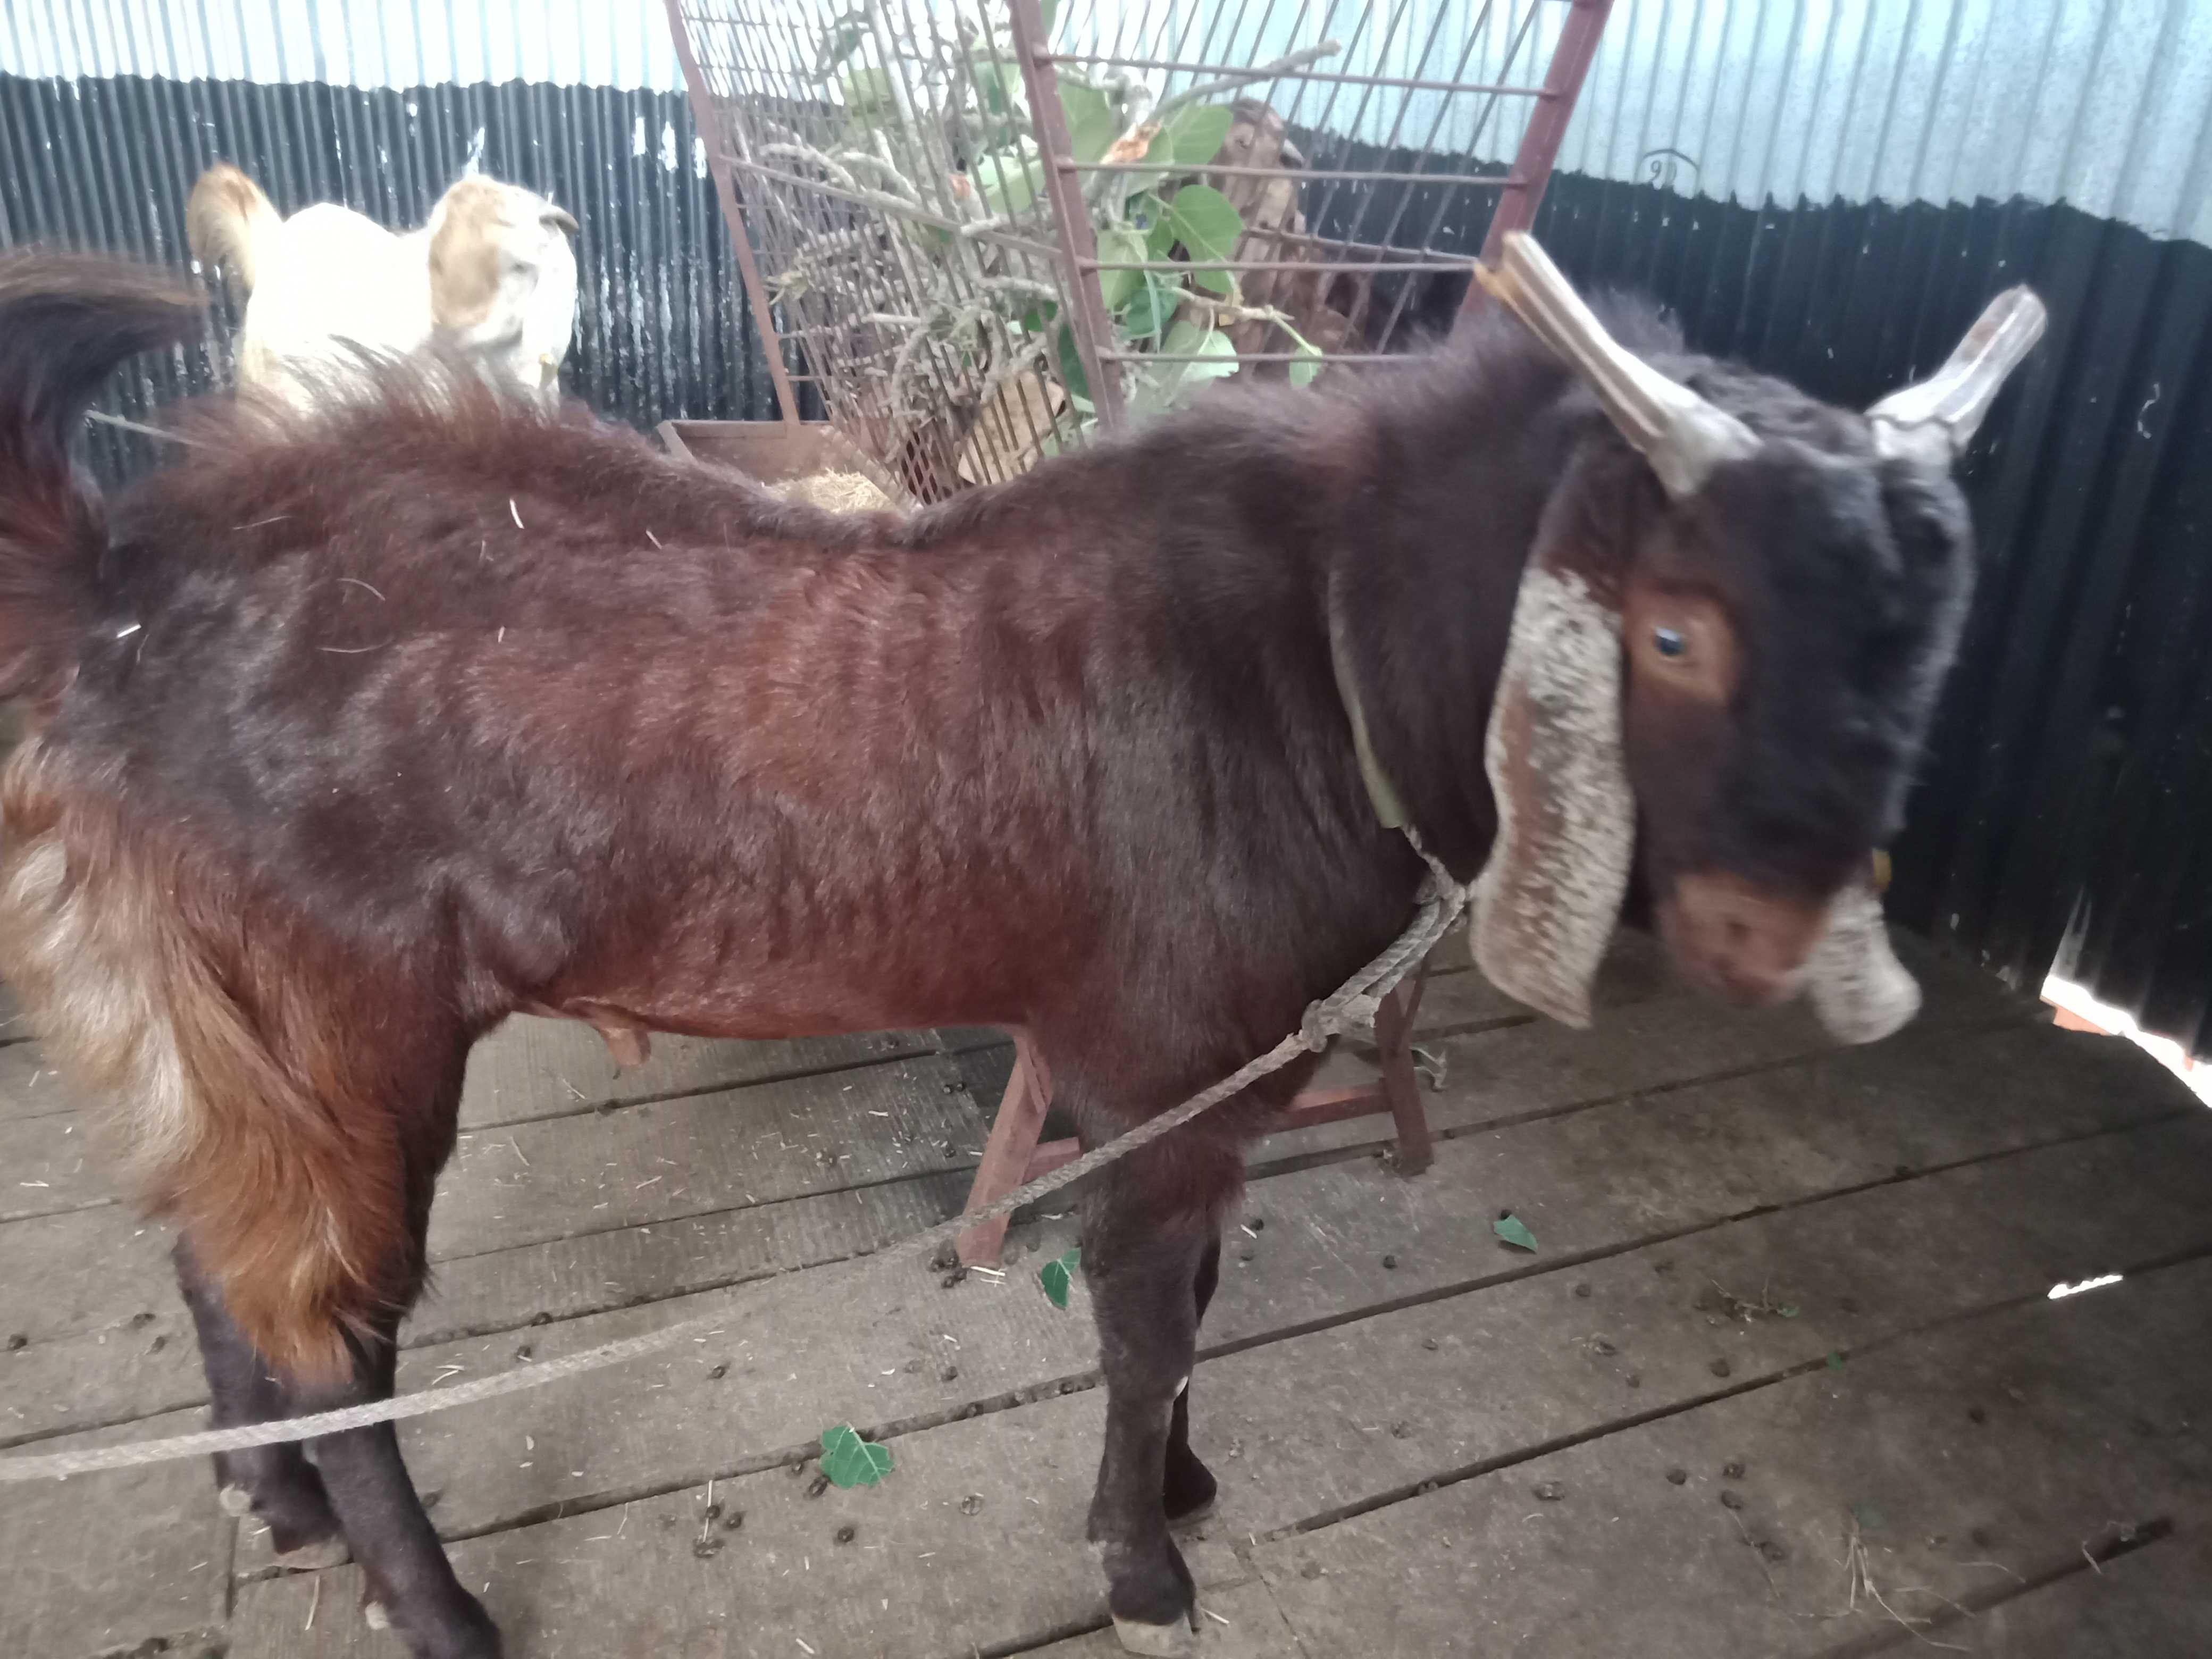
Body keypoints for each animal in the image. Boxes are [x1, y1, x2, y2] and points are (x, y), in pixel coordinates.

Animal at [0, 239, 2039, 1658]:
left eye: (1930, 630)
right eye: (1676, 628)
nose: (1782, 935)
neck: (1318, 653)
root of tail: (121, 589)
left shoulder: (1233, 1071)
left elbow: (1193, 1296)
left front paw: (1189, 1486)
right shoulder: (1158, 1065)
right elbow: (1146, 1319)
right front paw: (1143, 1558)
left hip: (212, 1010)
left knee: (219, 1254)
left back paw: (271, 1507)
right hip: (349, 1015)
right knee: (339, 1321)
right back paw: (434, 1603)